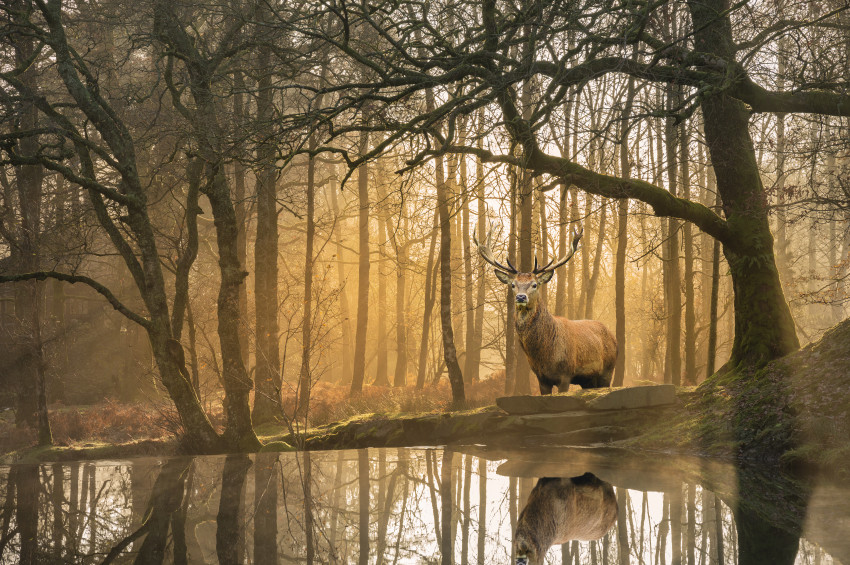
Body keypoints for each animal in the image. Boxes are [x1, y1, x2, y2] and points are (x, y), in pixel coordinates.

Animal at [475, 225, 617, 393]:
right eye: (513, 284)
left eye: (534, 284)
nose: (521, 297)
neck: (545, 355)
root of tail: (614, 337)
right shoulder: (541, 378)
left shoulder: (566, 374)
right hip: (588, 380)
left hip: (608, 370)